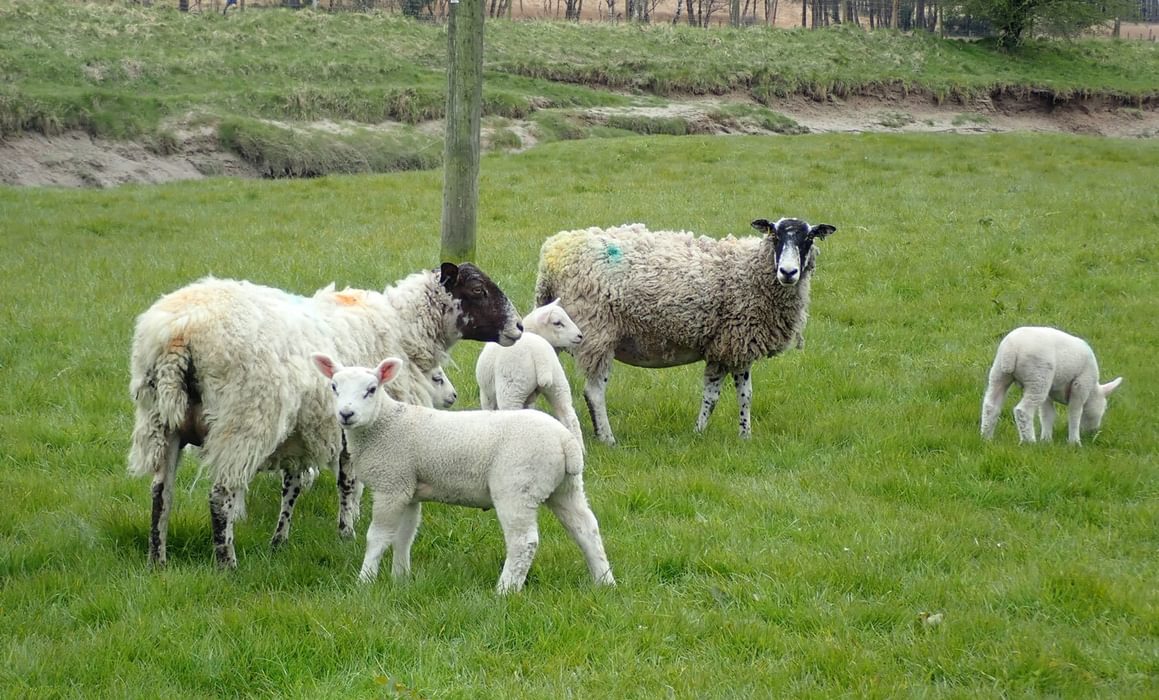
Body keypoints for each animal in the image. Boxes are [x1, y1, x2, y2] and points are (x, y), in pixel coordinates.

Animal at [129, 261, 523, 567]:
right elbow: (348, 482)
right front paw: (347, 533)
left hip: (161, 423)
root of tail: (178, 334)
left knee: (161, 493)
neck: (403, 327)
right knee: (220, 494)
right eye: (477, 289)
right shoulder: (357, 423)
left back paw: (157, 561)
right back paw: (227, 564)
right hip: (244, 418)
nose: (519, 327)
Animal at [308, 352, 616, 593]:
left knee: (523, 542)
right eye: (334, 387)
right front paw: (400, 579)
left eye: (371, 389)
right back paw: (604, 581)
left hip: (517, 487)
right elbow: (404, 536)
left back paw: (505, 590)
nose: (346, 414)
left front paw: (365, 581)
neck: (384, 425)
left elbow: (378, 537)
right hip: (566, 487)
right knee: (586, 529)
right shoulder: (408, 488)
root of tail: (567, 443)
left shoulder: (391, 485)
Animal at [472, 299, 584, 442]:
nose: (580, 336)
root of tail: (539, 353)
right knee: (570, 418)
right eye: (557, 323)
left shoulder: (486, 394)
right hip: (558, 385)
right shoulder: (530, 399)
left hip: (512, 390)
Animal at [978, 324, 1121, 445]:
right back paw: (1029, 442)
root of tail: (1011, 349)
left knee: (991, 406)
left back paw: (986, 437)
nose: (1093, 432)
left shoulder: (1049, 391)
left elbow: (1047, 414)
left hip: (1002, 374)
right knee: (1023, 410)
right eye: (1104, 409)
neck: (1092, 391)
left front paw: (1046, 439)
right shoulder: (1080, 385)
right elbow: (1074, 414)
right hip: (1037, 376)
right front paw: (1075, 442)